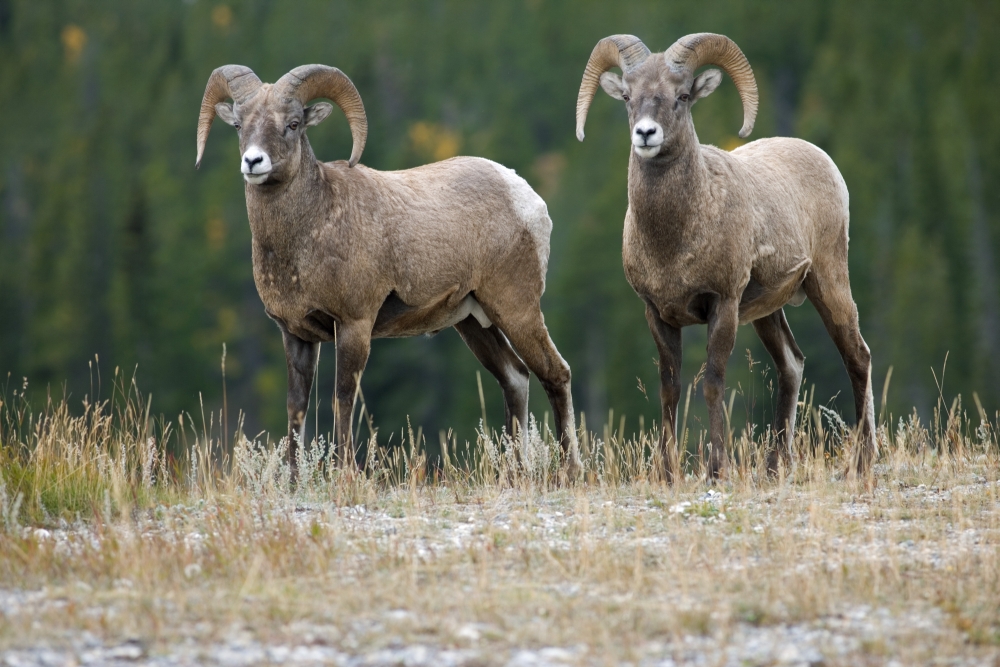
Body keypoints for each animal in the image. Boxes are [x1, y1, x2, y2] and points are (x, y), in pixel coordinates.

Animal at [195, 64, 581, 479]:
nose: (254, 162)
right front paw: (295, 480)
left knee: (555, 373)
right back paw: (515, 473)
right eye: (239, 125)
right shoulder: (295, 335)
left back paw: (570, 470)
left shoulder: (354, 326)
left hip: (516, 309)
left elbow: (343, 399)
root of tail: (525, 196)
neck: (310, 230)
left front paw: (344, 475)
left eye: (293, 124)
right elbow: (296, 408)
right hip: (474, 321)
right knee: (515, 378)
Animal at [575, 33, 876, 481]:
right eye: (628, 96)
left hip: (828, 281)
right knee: (791, 365)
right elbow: (670, 387)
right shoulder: (658, 315)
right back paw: (774, 467)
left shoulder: (724, 305)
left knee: (857, 356)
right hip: (769, 311)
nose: (646, 134)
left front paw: (718, 469)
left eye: (682, 96)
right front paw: (667, 474)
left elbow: (712, 383)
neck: (675, 240)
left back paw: (862, 462)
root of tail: (823, 161)